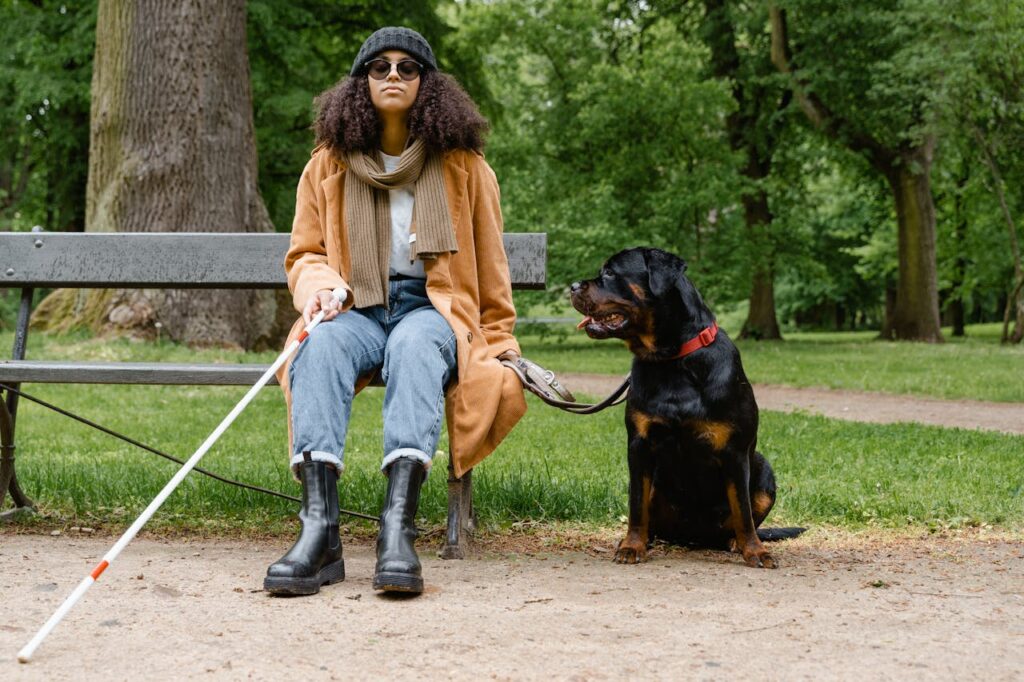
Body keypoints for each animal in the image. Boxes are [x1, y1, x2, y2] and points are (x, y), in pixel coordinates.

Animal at [573, 246, 802, 565]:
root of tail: (695, 538)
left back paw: (736, 542)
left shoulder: (734, 450)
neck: (672, 360)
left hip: (763, 467)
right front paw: (632, 545)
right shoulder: (639, 444)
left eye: (609, 272)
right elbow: (636, 505)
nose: (572, 286)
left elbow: (743, 510)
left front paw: (755, 550)